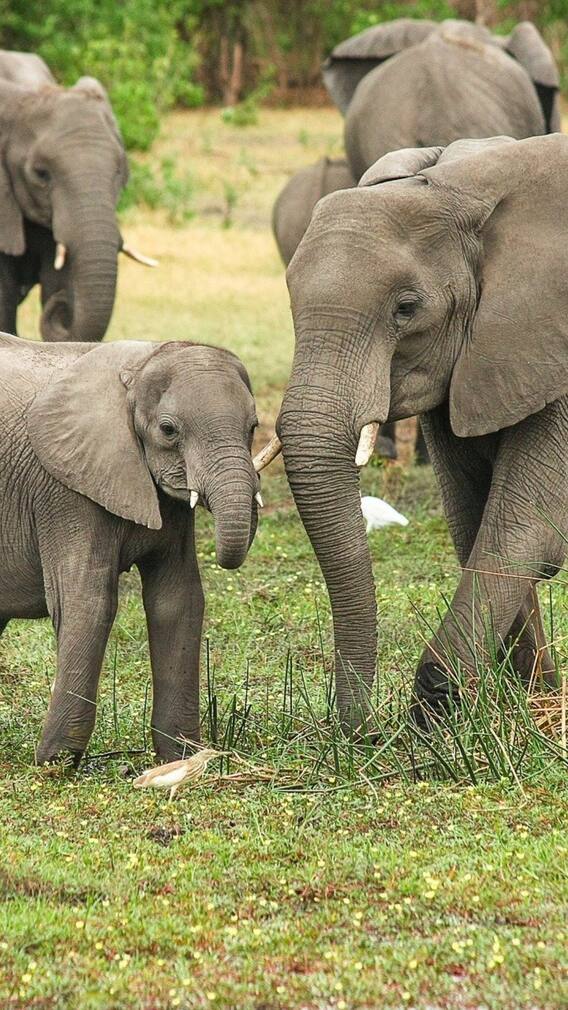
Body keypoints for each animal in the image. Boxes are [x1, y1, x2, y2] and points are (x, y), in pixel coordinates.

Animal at [0, 332, 264, 764]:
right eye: (169, 430)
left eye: (253, 426)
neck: (140, 367)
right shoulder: (66, 490)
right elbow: (88, 602)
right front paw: (55, 763)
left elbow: (178, 599)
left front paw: (182, 758)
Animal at [260, 133, 568, 732]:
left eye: (406, 309)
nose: (357, 730)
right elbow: (472, 514)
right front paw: (527, 698)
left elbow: (524, 522)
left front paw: (437, 710)